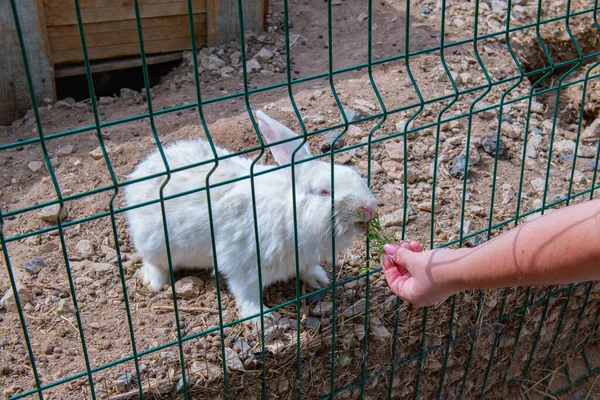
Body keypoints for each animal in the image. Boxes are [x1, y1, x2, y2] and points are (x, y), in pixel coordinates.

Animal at [123, 111, 376, 326]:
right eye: (324, 192)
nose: (369, 208)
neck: (291, 213)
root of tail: (141, 172)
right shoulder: (242, 267)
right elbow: (246, 294)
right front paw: (262, 319)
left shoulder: (303, 259)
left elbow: (307, 269)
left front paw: (320, 280)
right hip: (155, 243)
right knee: (154, 261)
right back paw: (155, 282)